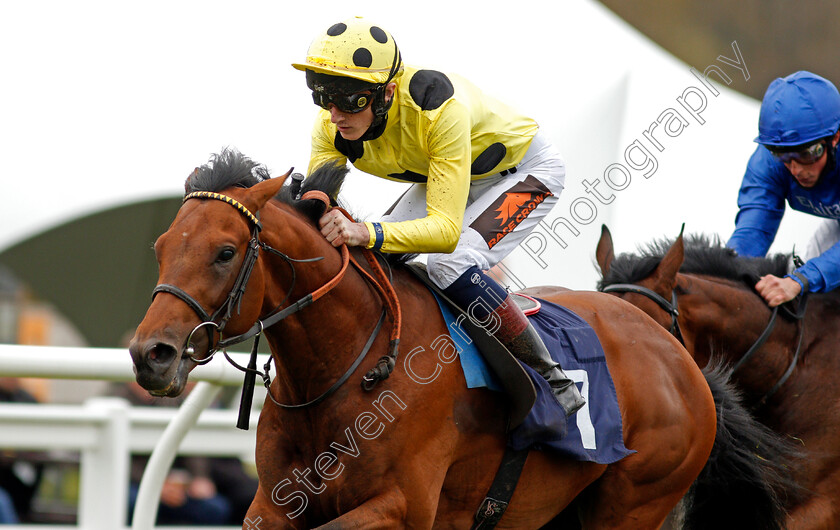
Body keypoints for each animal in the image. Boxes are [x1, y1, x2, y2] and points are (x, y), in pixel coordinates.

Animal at [130, 151, 788, 524]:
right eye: (159, 247)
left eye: (225, 252)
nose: (150, 355)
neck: (354, 369)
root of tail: (680, 359)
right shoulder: (274, 503)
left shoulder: (402, 508)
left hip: (634, 502)